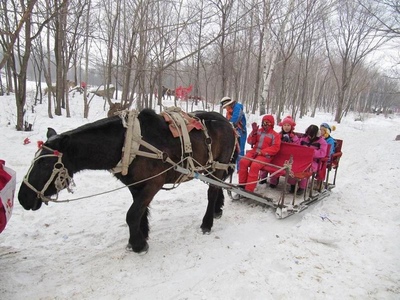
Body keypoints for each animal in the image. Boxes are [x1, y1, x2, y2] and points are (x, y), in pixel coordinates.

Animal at [18, 108, 238, 253]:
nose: (22, 198)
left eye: (45, 164)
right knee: (218, 188)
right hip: (211, 169)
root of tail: (228, 123)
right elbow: (139, 212)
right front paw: (142, 235)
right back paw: (217, 210)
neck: (129, 144)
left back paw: (207, 223)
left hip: (218, 166)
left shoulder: (153, 183)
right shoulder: (136, 185)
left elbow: (131, 214)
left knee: (212, 192)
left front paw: (138, 245)